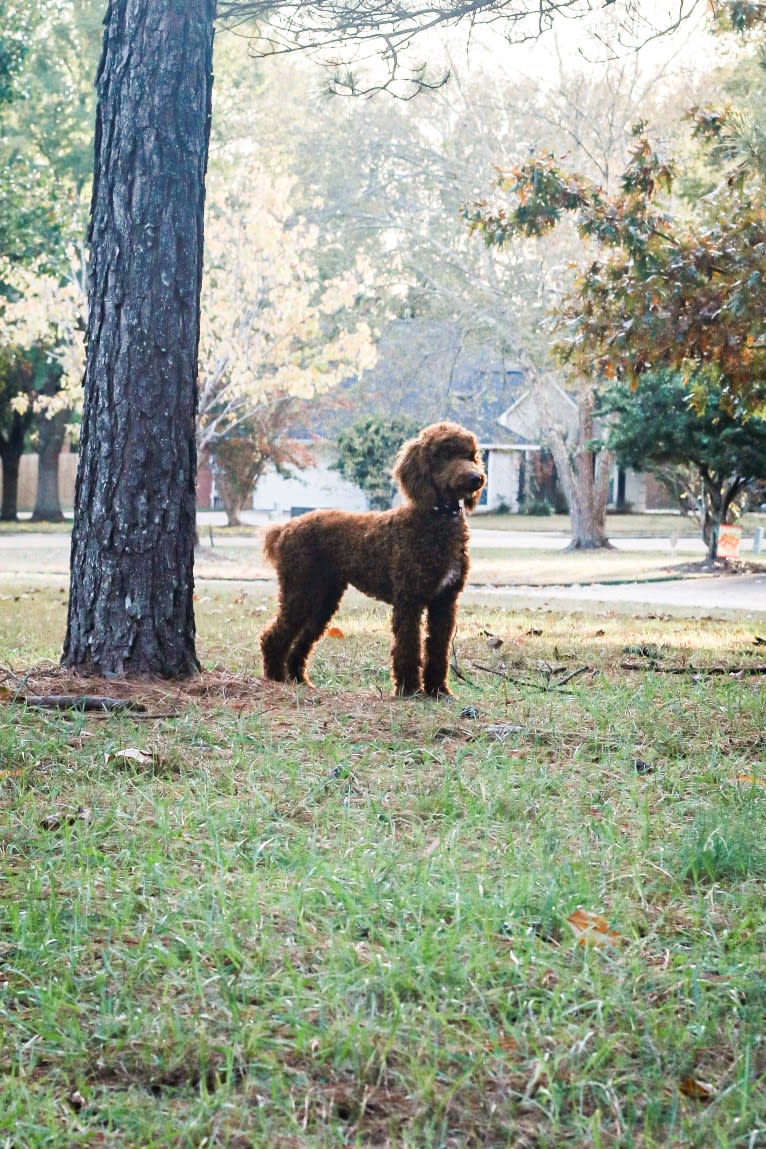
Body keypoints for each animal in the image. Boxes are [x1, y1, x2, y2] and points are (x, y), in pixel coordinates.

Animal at [257, 420, 484, 693]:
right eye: (445, 455)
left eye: (471, 455)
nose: (476, 478)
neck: (437, 518)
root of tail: (284, 529)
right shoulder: (409, 599)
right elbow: (408, 647)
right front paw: (410, 690)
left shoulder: (444, 601)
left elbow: (438, 649)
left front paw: (438, 691)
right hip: (299, 590)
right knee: (273, 636)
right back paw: (275, 678)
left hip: (322, 599)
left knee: (301, 640)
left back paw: (299, 680)